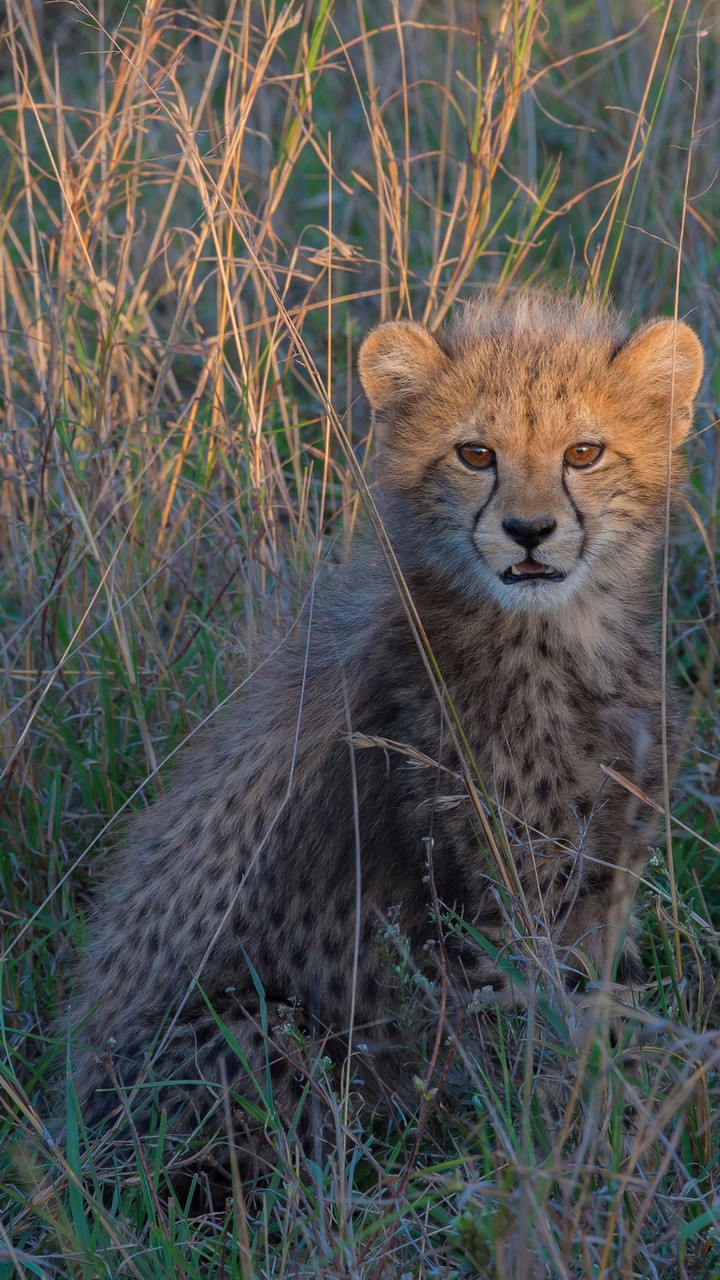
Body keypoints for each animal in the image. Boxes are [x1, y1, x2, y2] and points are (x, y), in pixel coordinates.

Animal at [64, 292, 704, 1183]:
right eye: (475, 453)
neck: (564, 634)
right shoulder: (505, 912)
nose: (529, 531)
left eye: (585, 451)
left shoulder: (602, 886)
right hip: (262, 1028)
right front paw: (559, 1151)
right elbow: (536, 1046)